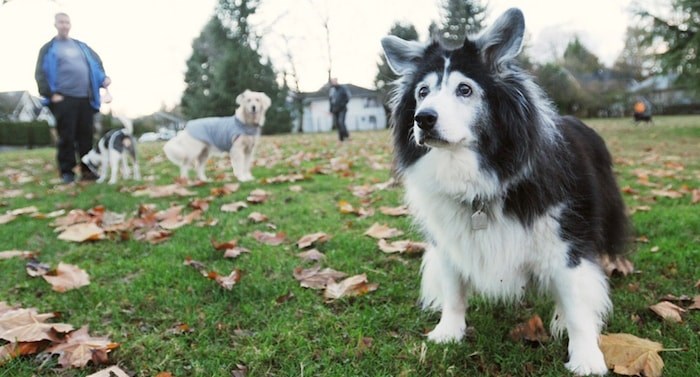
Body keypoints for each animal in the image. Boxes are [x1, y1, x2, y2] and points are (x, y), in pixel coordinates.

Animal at [382, 8, 628, 374]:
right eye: (423, 91)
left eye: (465, 89)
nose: (422, 119)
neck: (476, 171)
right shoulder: (449, 241)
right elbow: (453, 289)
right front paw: (448, 331)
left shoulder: (564, 238)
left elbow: (577, 301)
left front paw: (586, 357)